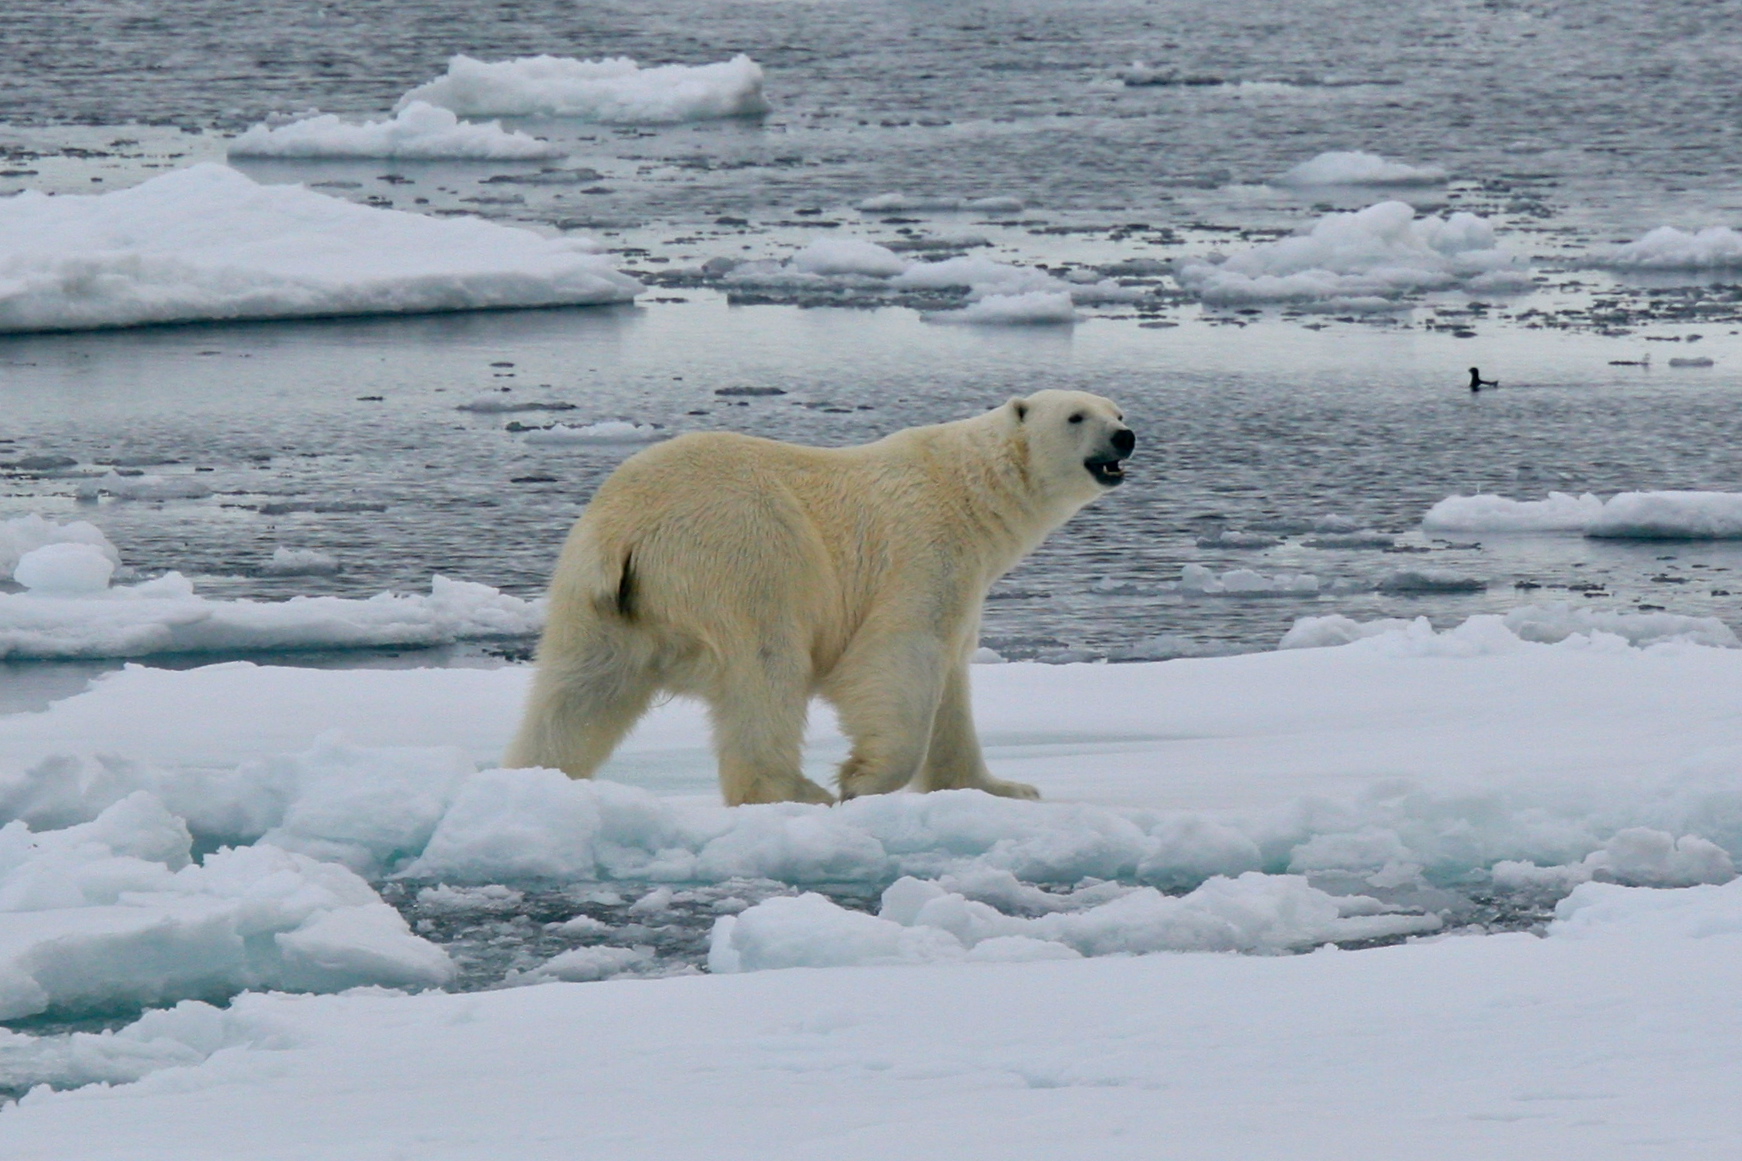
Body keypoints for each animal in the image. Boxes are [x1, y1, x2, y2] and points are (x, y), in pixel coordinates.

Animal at [504, 389, 1135, 806]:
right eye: (1077, 416)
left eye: (1118, 411)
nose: (1125, 436)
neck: (966, 490)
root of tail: (627, 528)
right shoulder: (922, 553)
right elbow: (898, 658)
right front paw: (861, 781)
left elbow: (953, 688)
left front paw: (1003, 787)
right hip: (746, 553)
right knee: (766, 673)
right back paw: (799, 791)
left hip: (596, 601)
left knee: (575, 694)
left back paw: (535, 780)